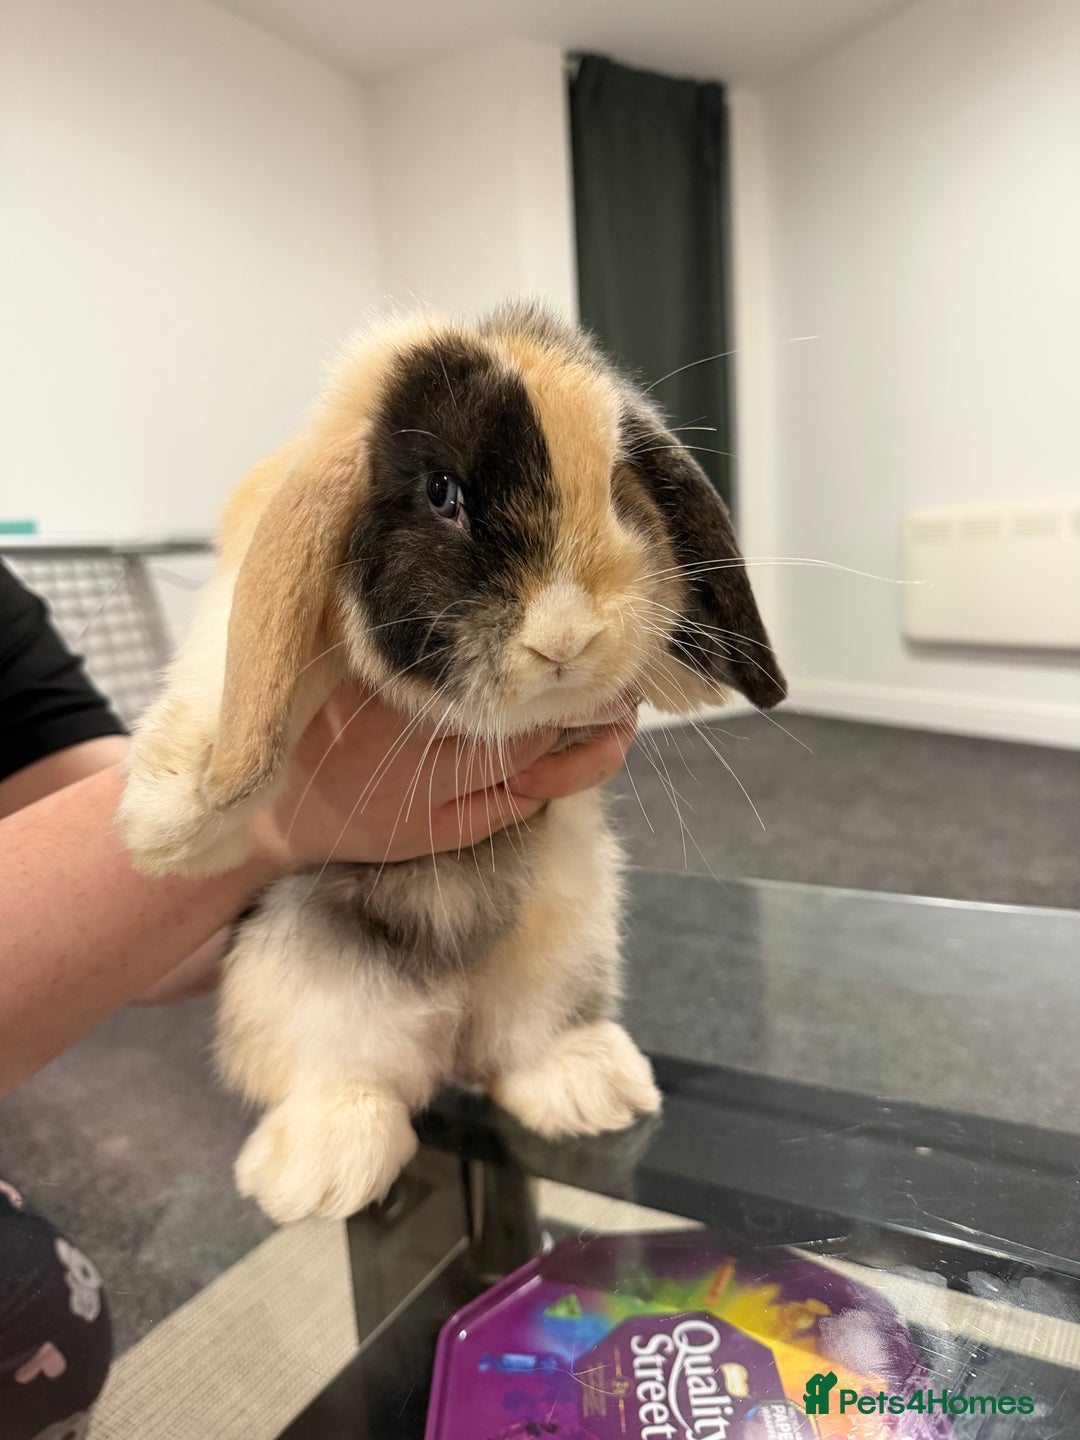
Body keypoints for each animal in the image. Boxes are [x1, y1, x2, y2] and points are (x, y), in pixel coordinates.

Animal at [118, 303, 786, 1223]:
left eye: (621, 491)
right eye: (443, 492)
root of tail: (455, 1031)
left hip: (563, 950)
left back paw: (592, 1092)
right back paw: (321, 1172)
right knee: (344, 1077)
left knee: (523, 1050)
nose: (566, 639)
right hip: (297, 978)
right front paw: (162, 824)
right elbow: (220, 664)